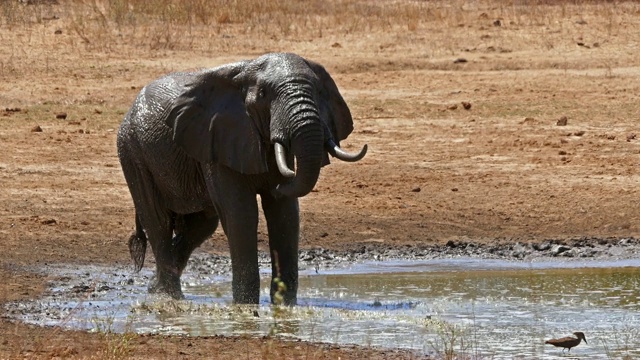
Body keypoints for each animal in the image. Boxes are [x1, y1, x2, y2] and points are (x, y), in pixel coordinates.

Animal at [115, 52, 364, 306]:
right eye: (263, 94)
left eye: (317, 91)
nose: (279, 183)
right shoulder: (217, 140)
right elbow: (241, 212)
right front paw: (245, 306)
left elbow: (284, 214)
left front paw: (284, 306)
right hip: (132, 151)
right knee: (158, 221)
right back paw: (170, 297)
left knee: (201, 225)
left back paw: (155, 288)